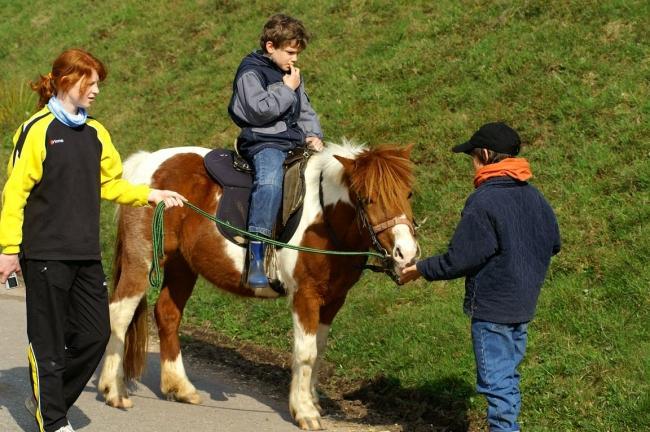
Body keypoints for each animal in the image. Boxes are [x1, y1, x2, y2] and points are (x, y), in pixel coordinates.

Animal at [98, 140, 418, 430]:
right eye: (366, 198)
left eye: (409, 193)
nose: (407, 254)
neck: (325, 217)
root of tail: (146, 162)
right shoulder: (305, 296)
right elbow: (306, 353)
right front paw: (304, 411)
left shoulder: (334, 299)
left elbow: (319, 350)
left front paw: (312, 400)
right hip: (141, 261)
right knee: (119, 315)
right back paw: (113, 391)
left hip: (182, 266)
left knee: (167, 314)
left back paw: (180, 387)